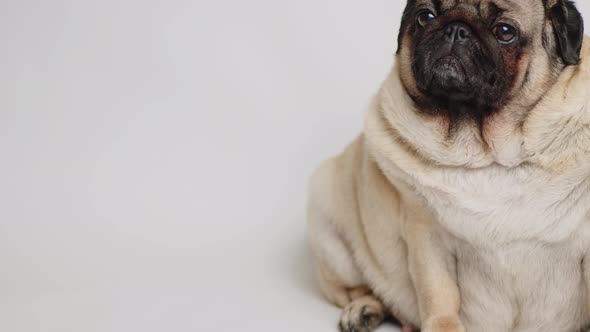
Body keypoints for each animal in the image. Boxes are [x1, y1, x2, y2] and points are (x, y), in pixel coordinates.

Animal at [310, 0, 590, 332]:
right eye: (425, 16)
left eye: (504, 31)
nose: (456, 29)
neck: (487, 151)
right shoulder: (428, 236)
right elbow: (439, 295)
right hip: (329, 227)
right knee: (357, 287)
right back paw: (363, 309)